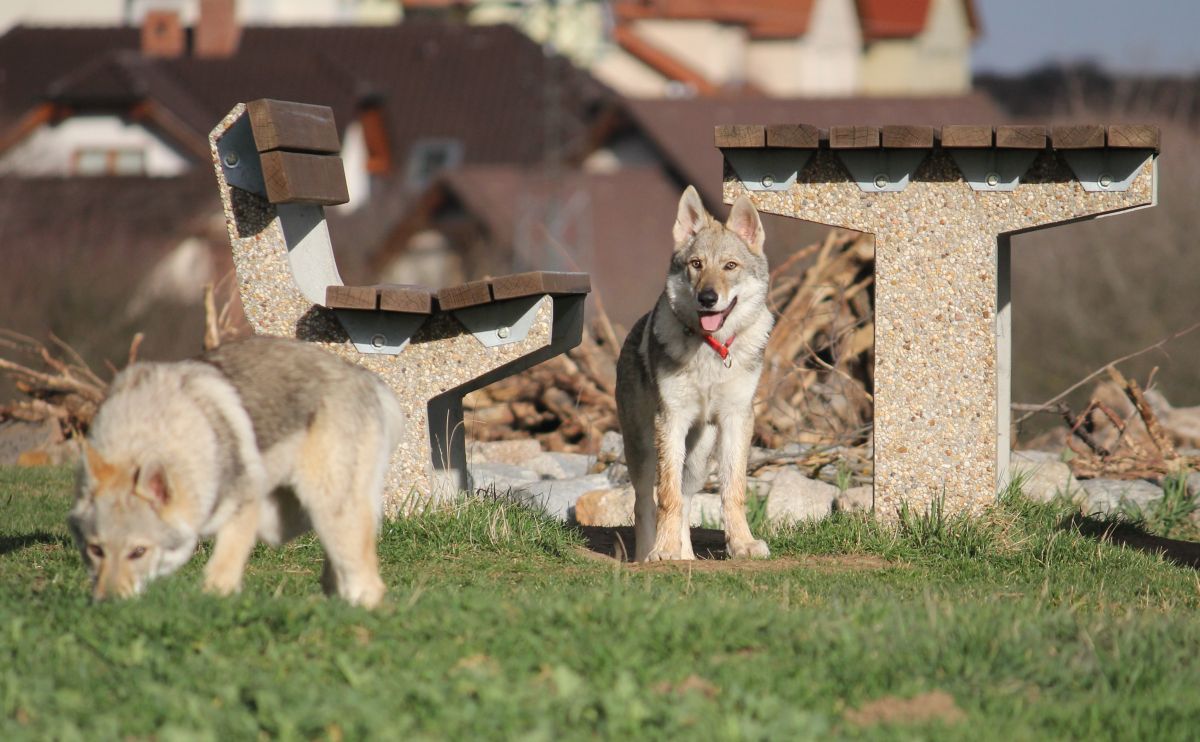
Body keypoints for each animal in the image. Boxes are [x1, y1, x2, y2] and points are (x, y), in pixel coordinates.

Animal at [70, 336, 403, 607]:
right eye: (96, 550)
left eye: (138, 552)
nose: (107, 603)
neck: (147, 432)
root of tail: (364, 376)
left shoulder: (244, 506)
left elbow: (220, 574)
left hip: (329, 509)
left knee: (368, 583)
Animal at [614, 186, 772, 559]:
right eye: (696, 265)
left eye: (730, 266)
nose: (708, 297)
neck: (711, 352)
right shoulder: (671, 419)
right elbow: (666, 497)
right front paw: (662, 551)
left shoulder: (737, 418)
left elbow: (734, 492)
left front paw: (742, 544)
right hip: (643, 451)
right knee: (645, 502)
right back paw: (648, 554)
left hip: (699, 460)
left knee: (687, 498)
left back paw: (685, 554)